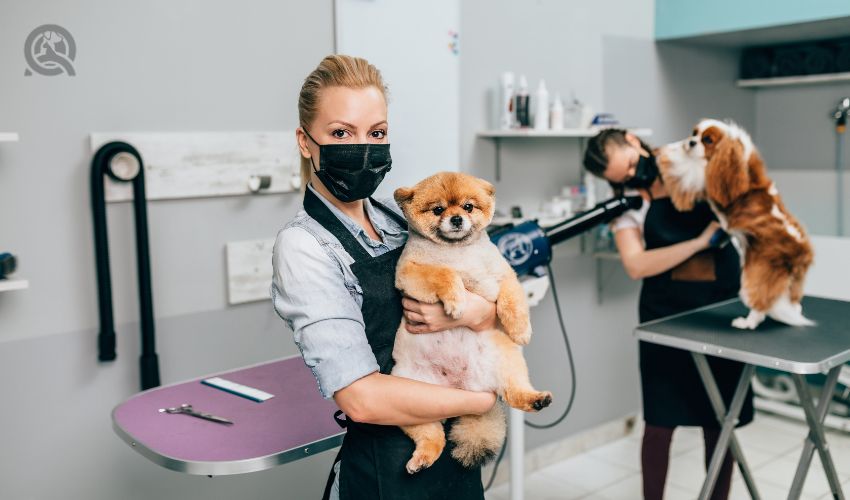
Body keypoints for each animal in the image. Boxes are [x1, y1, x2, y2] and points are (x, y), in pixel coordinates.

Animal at [390, 174, 548, 474]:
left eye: (468, 206)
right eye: (438, 209)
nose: (455, 219)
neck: (458, 252)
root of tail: (464, 389)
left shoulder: (504, 275)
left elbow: (512, 300)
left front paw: (520, 328)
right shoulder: (409, 273)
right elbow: (444, 273)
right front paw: (455, 299)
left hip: (507, 360)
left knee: (514, 392)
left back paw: (536, 399)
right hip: (409, 397)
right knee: (432, 435)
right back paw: (422, 458)